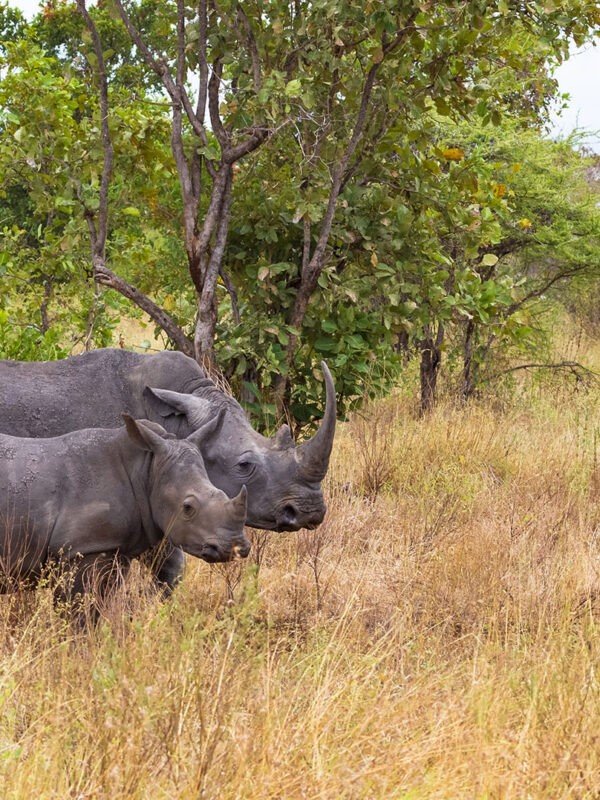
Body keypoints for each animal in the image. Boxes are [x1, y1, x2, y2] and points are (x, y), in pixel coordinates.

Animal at [0, 414, 249, 601]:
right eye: (187, 507)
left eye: (223, 494)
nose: (237, 547)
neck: (146, 470)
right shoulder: (83, 548)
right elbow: (79, 613)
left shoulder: (117, 550)